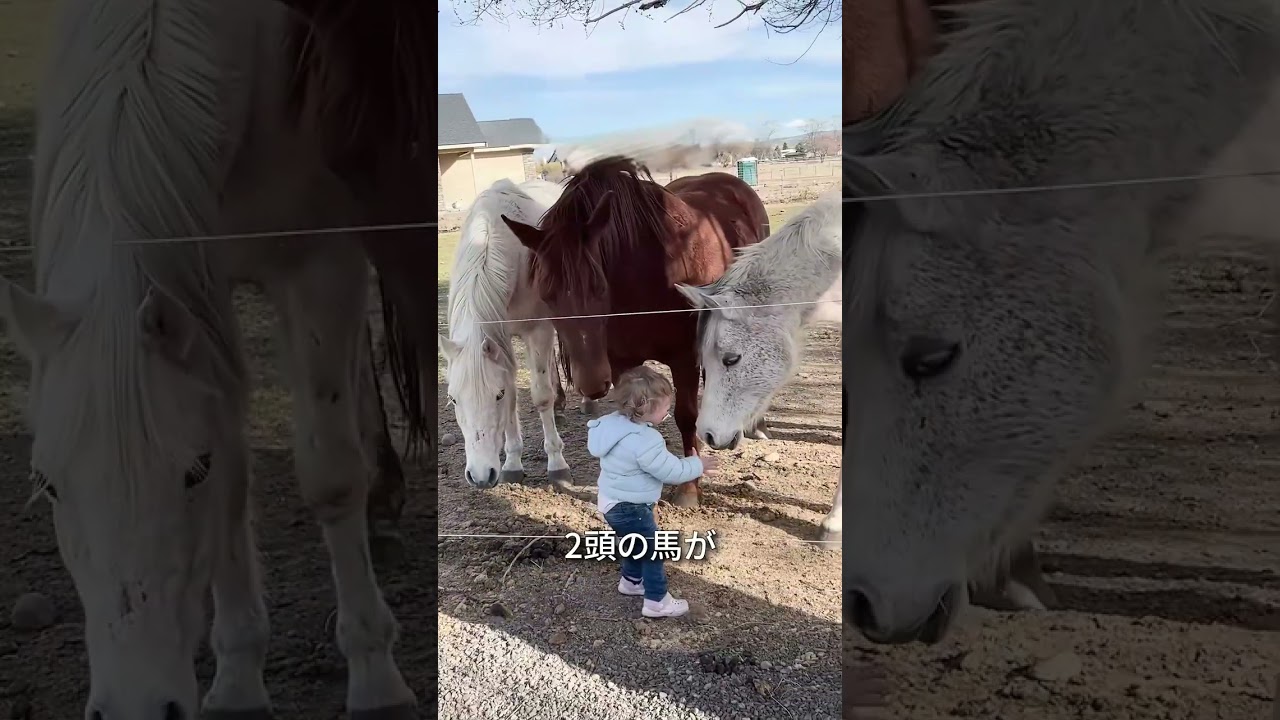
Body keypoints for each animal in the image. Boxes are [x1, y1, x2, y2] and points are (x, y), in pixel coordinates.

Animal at [0, 0, 430, 716]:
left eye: (188, 474)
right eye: (49, 484)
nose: (138, 708)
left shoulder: (320, 263)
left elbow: (329, 473)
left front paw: (375, 675)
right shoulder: (202, 284)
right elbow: (235, 476)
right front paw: (236, 683)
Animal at [438, 178, 573, 490]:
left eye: (495, 396)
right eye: (453, 399)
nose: (480, 476)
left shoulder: (538, 328)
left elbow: (540, 395)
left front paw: (557, 464)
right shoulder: (502, 339)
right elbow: (516, 396)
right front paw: (512, 463)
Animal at [499, 156, 769, 507]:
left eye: (599, 286)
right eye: (546, 295)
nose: (591, 384)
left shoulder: (684, 357)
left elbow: (686, 415)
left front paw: (689, 488)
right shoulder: (619, 362)